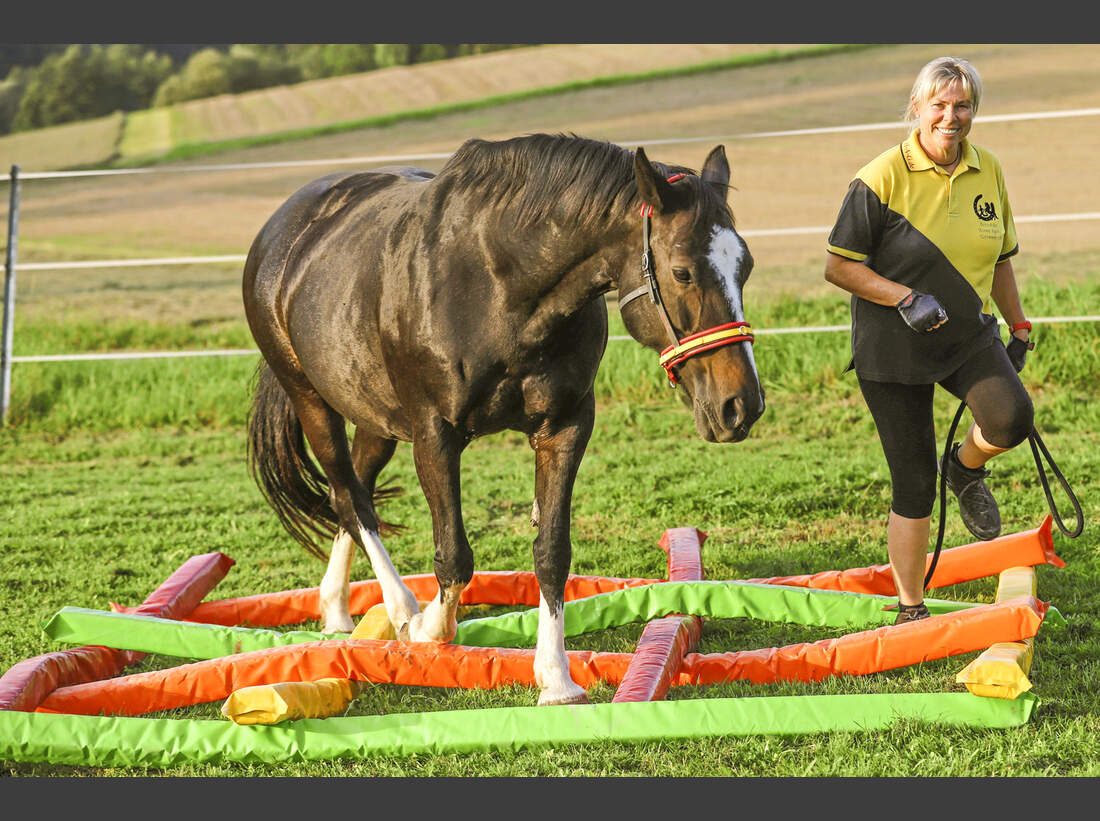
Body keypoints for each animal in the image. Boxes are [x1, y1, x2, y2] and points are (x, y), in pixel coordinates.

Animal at [243, 133, 765, 706]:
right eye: (682, 272)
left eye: (745, 268)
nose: (741, 406)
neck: (498, 288)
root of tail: (285, 227)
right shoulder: (434, 434)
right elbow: (453, 556)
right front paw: (428, 629)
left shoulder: (565, 427)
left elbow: (552, 551)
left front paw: (556, 679)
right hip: (312, 399)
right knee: (348, 495)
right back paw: (401, 609)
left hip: (374, 417)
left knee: (353, 490)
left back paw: (337, 609)